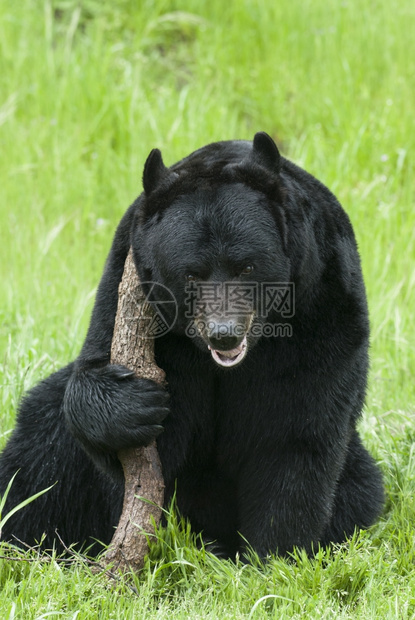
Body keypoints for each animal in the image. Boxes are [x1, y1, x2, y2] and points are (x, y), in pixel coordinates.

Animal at [0, 133, 386, 560]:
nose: (224, 334)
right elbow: (144, 441)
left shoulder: (322, 305)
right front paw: (135, 406)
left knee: (361, 486)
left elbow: (299, 433)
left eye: (247, 266)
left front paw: (274, 557)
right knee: (39, 450)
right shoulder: (131, 290)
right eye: (191, 274)